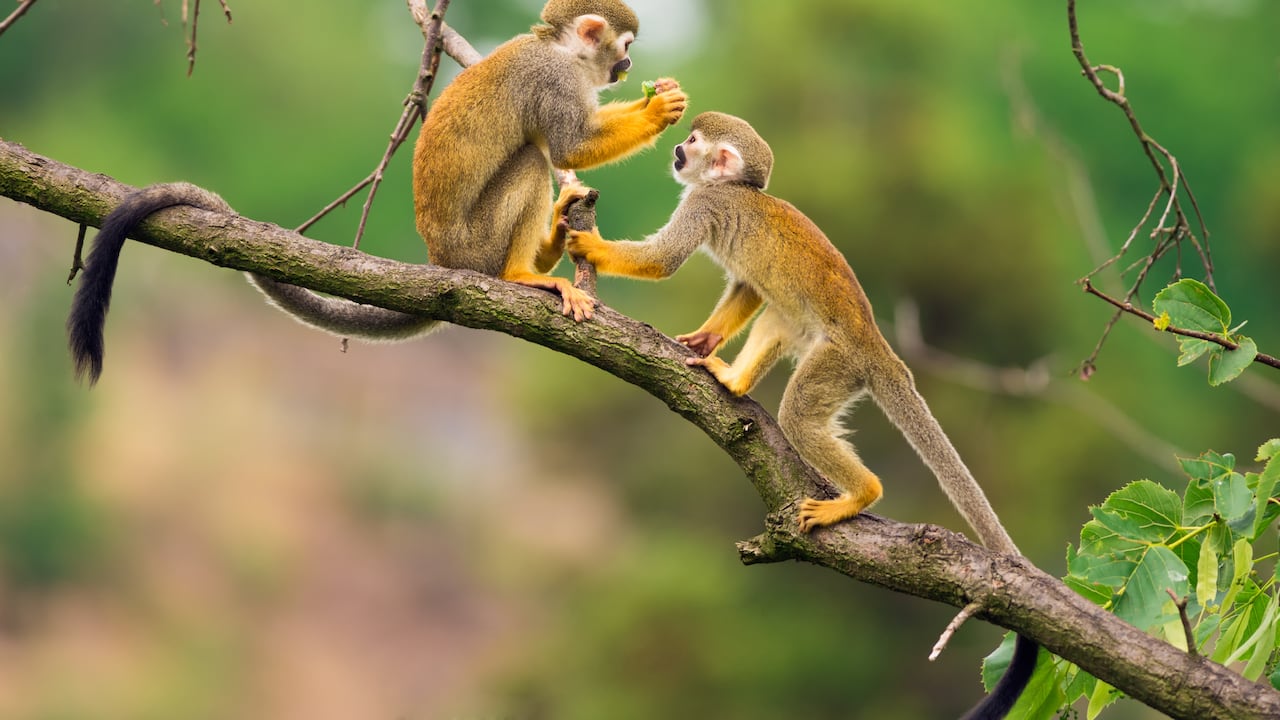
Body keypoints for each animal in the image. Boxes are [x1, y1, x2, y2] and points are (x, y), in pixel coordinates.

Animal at [67, 0, 686, 383]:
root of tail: (442, 262)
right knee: (532, 161)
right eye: (624, 45)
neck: (561, 53)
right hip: (476, 244)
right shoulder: (552, 81)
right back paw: (522, 274)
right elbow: (566, 147)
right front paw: (659, 110)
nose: (629, 63)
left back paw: (555, 237)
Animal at [563, 111, 1037, 719]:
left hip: (840, 362)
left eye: (691, 142)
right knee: (778, 311)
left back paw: (860, 495)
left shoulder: (705, 204)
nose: (675, 151)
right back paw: (735, 381)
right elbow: (746, 287)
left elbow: (664, 261)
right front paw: (706, 338)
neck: (736, 190)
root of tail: (878, 347)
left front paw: (590, 244)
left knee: (800, 415)